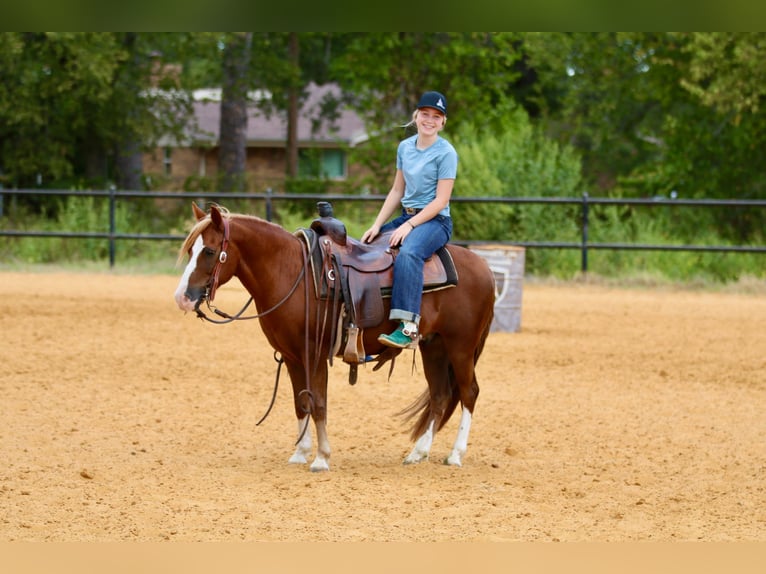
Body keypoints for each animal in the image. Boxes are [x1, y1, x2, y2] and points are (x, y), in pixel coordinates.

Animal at [174, 202, 495, 471]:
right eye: (190, 251)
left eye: (209, 251)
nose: (182, 298)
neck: (293, 274)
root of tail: (484, 267)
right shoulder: (291, 356)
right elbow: (300, 402)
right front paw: (300, 453)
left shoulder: (315, 354)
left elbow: (318, 403)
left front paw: (321, 458)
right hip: (435, 347)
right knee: (441, 395)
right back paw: (417, 453)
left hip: (461, 347)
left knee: (469, 392)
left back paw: (455, 455)